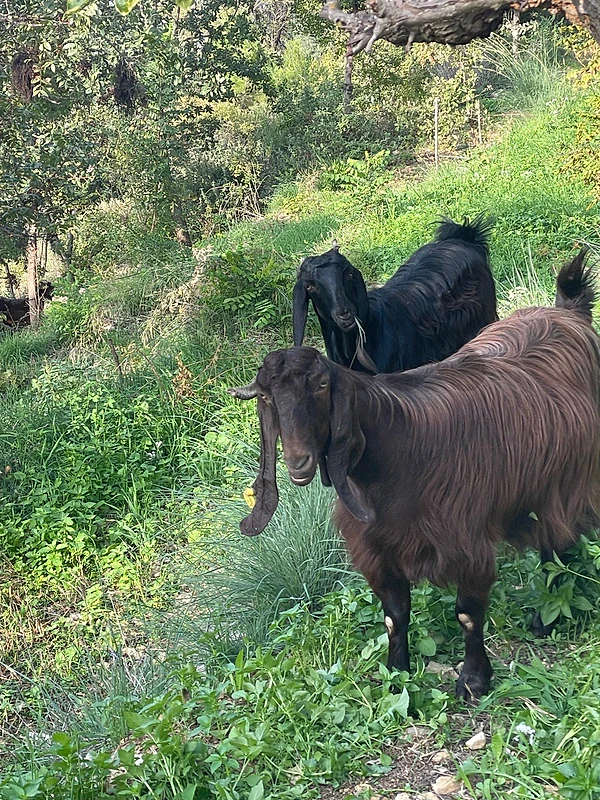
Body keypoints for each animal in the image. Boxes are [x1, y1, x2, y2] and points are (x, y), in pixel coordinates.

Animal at [231, 250, 600, 700]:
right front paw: (396, 676)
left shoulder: (467, 540)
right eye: (267, 397)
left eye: (321, 385)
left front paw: (473, 680)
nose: (299, 463)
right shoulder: (376, 549)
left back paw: (547, 616)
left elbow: (467, 614)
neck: (400, 449)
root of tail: (569, 310)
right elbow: (394, 616)